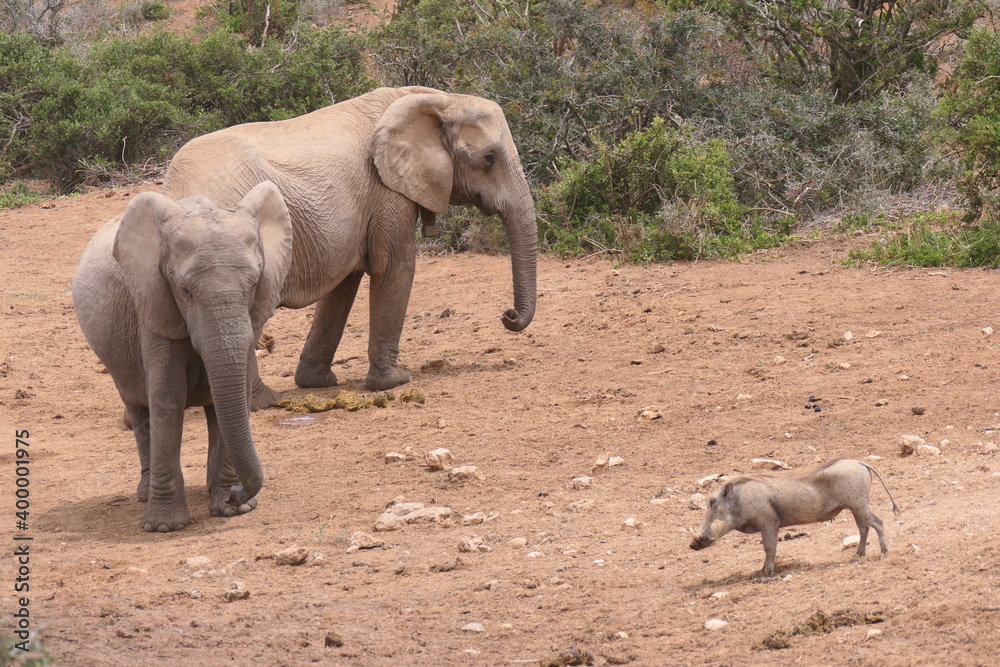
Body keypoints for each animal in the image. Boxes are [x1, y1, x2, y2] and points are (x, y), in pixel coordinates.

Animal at [162, 86, 540, 404]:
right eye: (489, 158)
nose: (507, 316)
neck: (437, 98)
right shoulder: (386, 190)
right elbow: (395, 265)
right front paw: (395, 381)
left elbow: (343, 284)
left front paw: (317, 383)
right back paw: (258, 401)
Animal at [692, 456, 904, 576]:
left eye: (712, 501)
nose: (692, 544)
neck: (740, 499)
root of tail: (859, 462)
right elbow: (769, 549)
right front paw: (762, 571)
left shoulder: (768, 522)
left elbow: (769, 548)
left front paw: (766, 573)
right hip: (855, 507)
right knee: (864, 527)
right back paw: (858, 554)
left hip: (859, 505)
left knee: (878, 522)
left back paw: (884, 552)